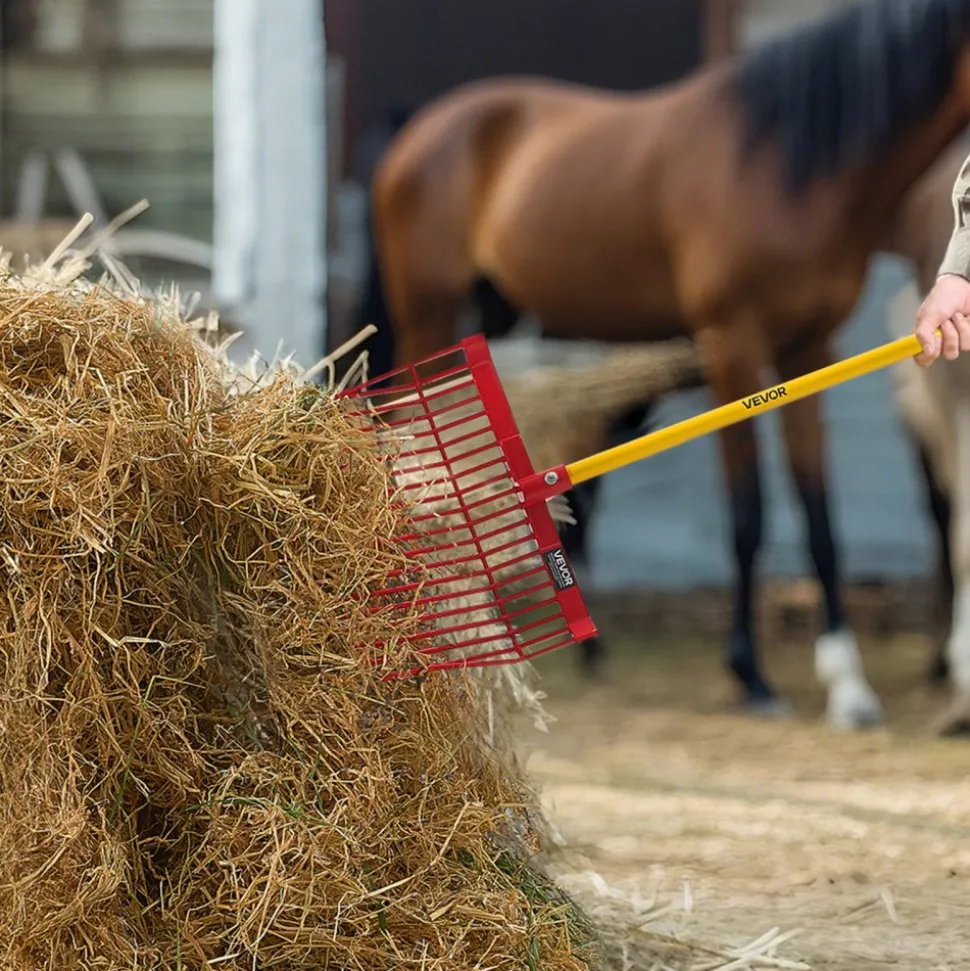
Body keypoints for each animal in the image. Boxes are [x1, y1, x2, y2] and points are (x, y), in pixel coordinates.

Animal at [364, 0, 970, 730]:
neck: (789, 164)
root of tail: (420, 130)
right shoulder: (731, 343)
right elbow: (749, 513)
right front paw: (751, 675)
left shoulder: (809, 348)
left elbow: (819, 515)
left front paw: (849, 686)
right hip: (428, 315)